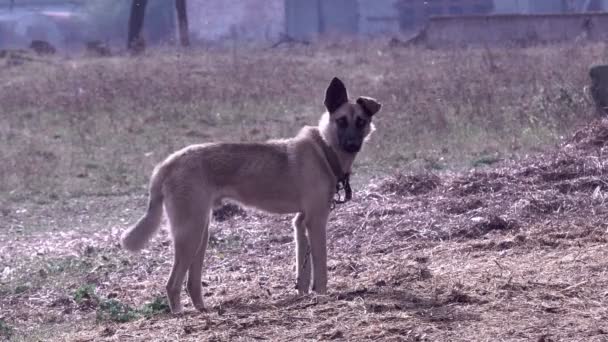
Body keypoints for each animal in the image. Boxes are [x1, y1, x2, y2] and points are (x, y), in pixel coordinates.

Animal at [121, 77, 382, 312]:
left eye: (361, 121)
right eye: (341, 121)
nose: (352, 145)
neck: (325, 150)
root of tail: (167, 163)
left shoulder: (300, 222)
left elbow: (304, 273)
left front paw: (304, 297)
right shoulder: (316, 222)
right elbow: (322, 271)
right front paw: (323, 298)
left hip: (200, 234)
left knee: (191, 283)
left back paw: (203, 310)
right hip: (189, 235)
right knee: (172, 284)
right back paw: (181, 315)